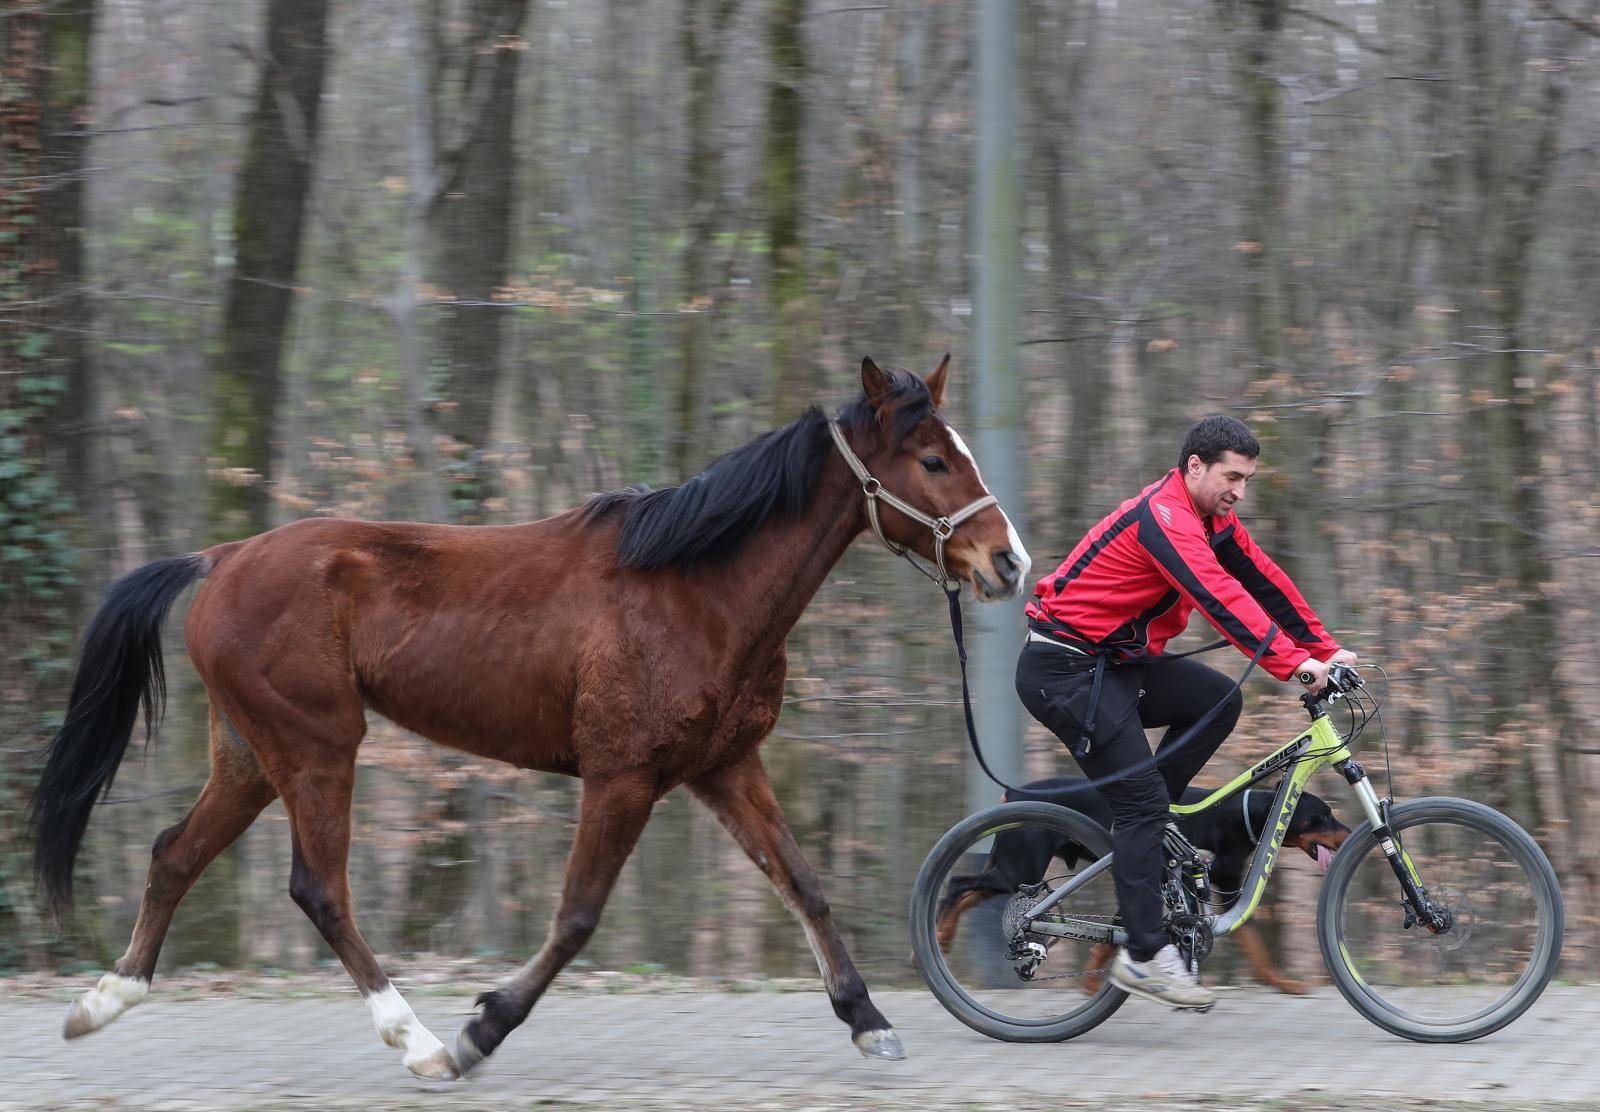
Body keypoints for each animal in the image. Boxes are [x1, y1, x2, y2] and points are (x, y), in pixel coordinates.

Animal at [31, 356, 1030, 1081]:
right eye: (933, 459)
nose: (1008, 562)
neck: (693, 590)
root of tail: (224, 556)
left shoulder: (725, 768)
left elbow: (805, 886)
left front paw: (868, 1020)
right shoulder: (623, 777)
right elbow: (579, 913)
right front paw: (482, 1029)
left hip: (248, 754)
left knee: (175, 854)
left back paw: (99, 1005)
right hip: (316, 747)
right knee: (319, 889)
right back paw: (419, 1044)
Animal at [934, 777, 1350, 998]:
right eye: (1323, 814)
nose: (1347, 833)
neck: (1242, 816)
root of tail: (1014, 794)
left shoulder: (1218, 886)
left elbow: (1252, 940)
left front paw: (1279, 981)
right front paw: (1097, 979)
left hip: (1016, 867)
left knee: (966, 890)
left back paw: (941, 935)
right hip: (1018, 867)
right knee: (957, 883)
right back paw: (940, 935)